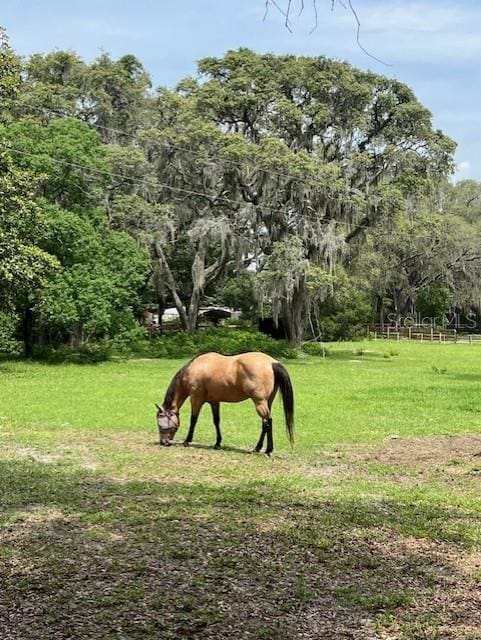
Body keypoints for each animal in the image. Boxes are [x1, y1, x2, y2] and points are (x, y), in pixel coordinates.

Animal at [156, 350, 294, 456]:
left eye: (159, 422)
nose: (164, 442)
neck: (195, 368)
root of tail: (272, 362)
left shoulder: (196, 399)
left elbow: (193, 420)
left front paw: (187, 440)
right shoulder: (214, 402)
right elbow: (216, 421)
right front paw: (217, 443)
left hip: (259, 402)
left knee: (267, 422)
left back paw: (264, 449)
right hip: (267, 402)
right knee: (265, 423)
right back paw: (261, 448)